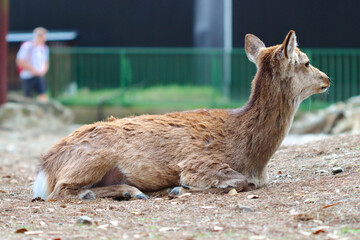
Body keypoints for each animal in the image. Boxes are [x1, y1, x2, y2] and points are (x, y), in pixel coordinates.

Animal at [33, 31, 330, 202]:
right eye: (306, 62)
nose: (327, 78)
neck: (255, 157)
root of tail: (45, 166)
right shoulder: (197, 162)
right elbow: (238, 181)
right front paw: (179, 189)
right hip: (93, 157)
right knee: (59, 192)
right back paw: (126, 191)